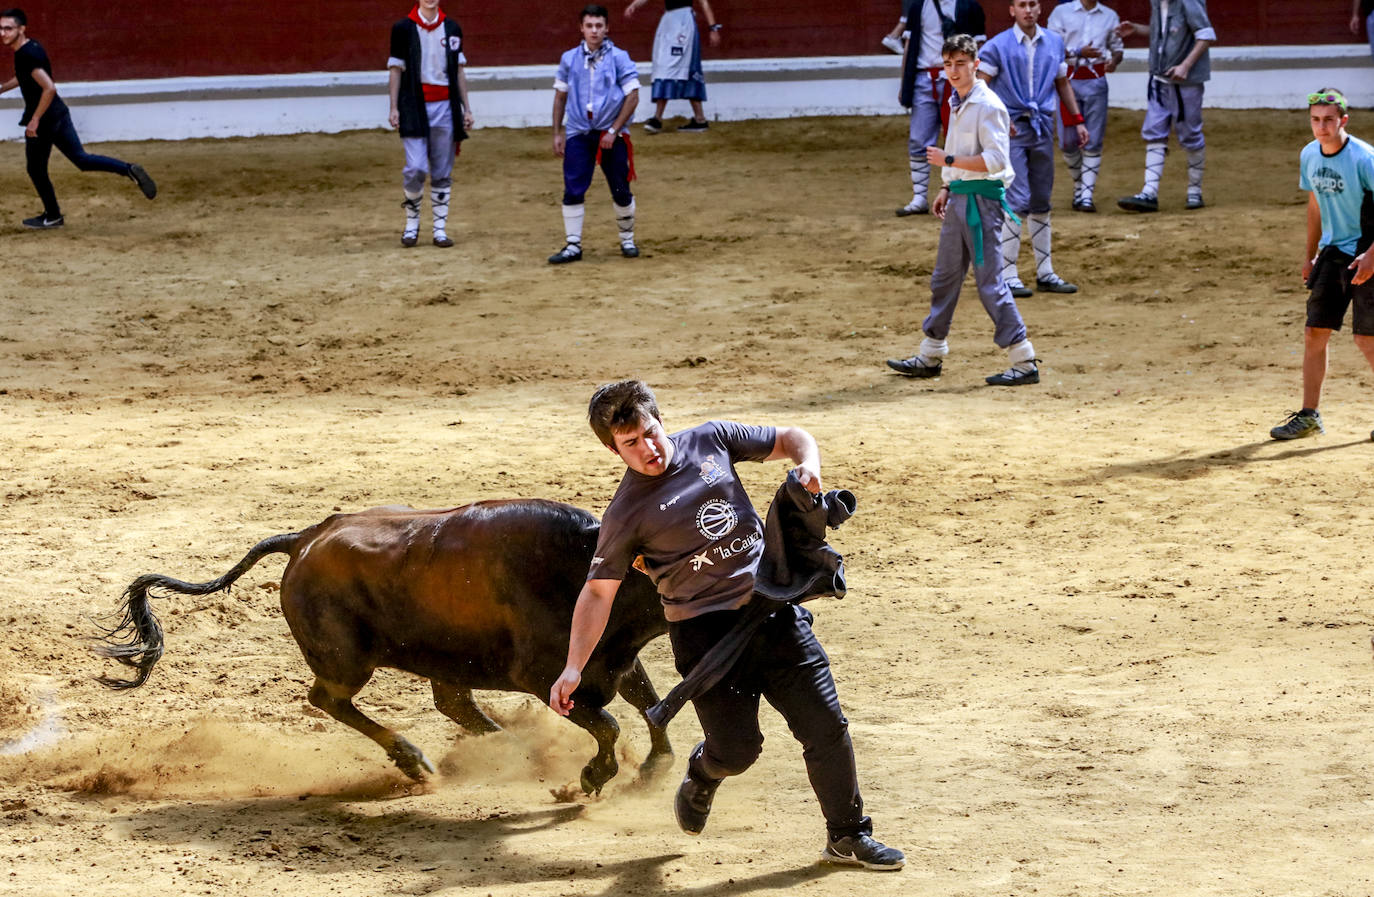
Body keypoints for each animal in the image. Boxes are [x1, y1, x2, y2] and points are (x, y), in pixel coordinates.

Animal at [94, 500, 673, 796]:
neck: (581, 563)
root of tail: (303, 538)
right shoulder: (544, 674)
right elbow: (611, 723)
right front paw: (593, 776)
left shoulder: (616, 660)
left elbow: (650, 705)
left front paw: (653, 768)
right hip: (347, 662)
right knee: (329, 700)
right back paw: (416, 760)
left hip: (444, 657)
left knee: (452, 703)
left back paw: (504, 750)